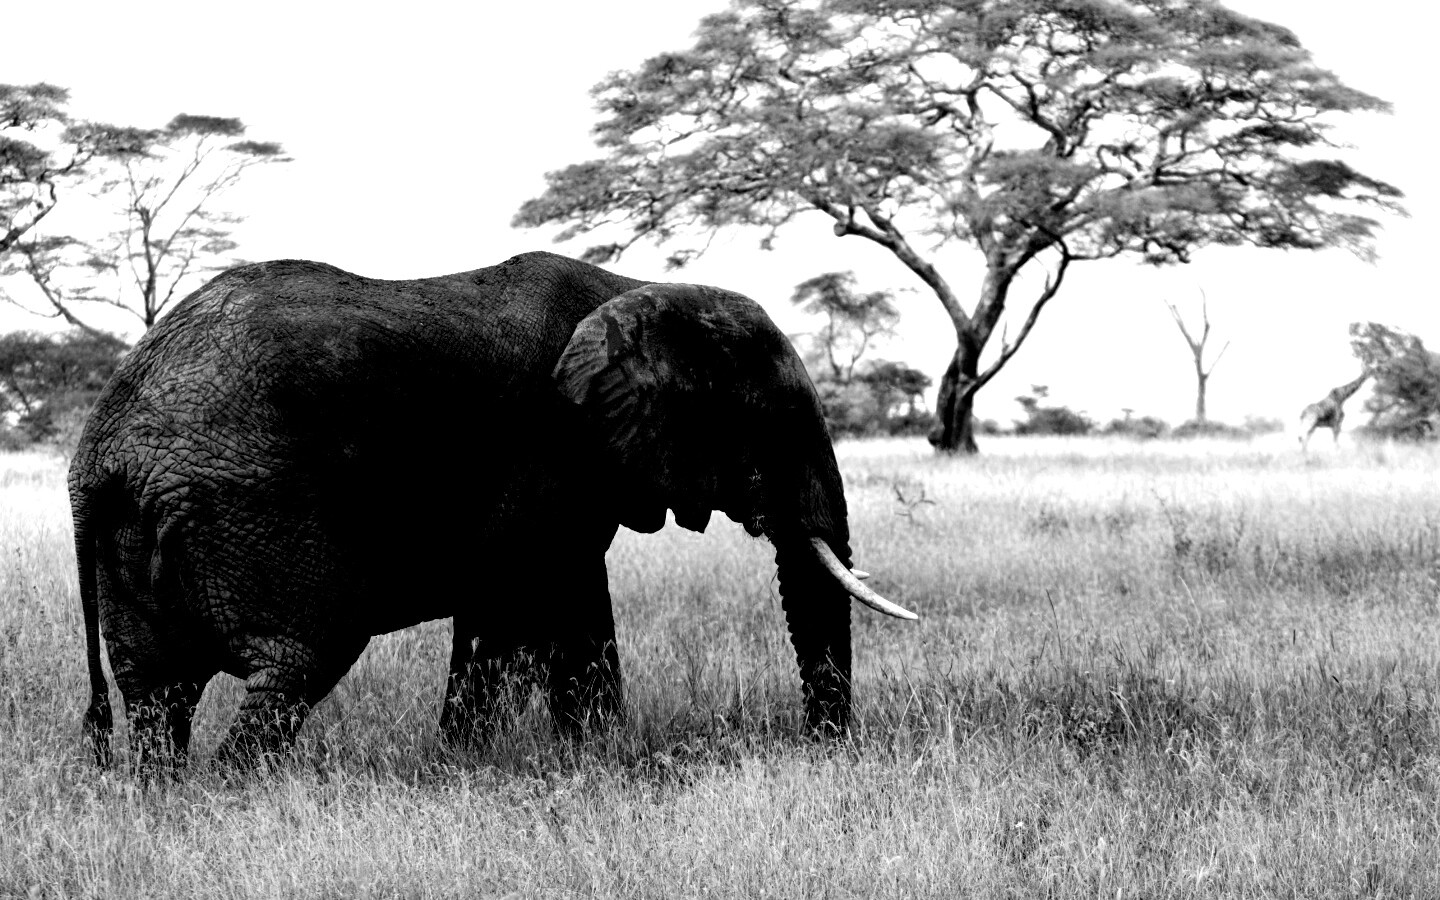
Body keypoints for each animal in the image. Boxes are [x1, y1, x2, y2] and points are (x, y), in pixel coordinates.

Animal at [70, 250, 915, 769]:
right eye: (775, 423)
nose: (822, 747)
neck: (637, 289)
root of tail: (102, 452)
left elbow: (524, 613)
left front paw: (513, 759)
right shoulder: (555, 453)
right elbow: (544, 606)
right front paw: (574, 760)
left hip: (139, 534)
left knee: (157, 693)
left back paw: (167, 800)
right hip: (248, 507)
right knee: (298, 660)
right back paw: (237, 796)